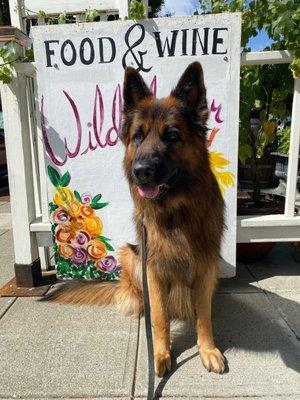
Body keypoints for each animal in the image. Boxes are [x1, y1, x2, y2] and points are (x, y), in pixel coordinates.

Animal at [51, 61, 225, 376]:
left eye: (171, 135)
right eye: (138, 136)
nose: (141, 171)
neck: (175, 212)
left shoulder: (206, 265)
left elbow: (204, 314)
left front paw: (207, 349)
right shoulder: (152, 269)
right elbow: (160, 317)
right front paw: (160, 353)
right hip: (130, 254)